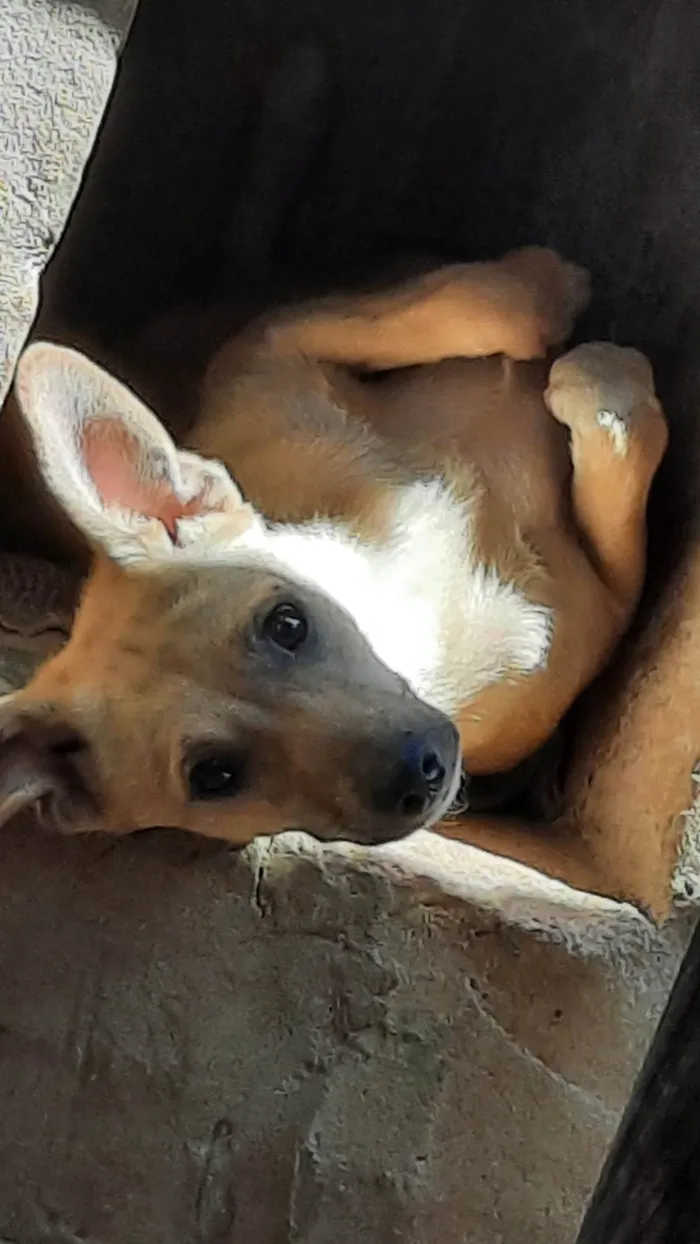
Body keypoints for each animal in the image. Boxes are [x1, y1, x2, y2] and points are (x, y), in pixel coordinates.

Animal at [0, 245, 666, 875]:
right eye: (215, 776)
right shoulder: (608, 606)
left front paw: (552, 289)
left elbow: (467, 305)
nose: (418, 772)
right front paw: (601, 381)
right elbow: (625, 495)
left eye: (286, 623)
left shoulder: (274, 341)